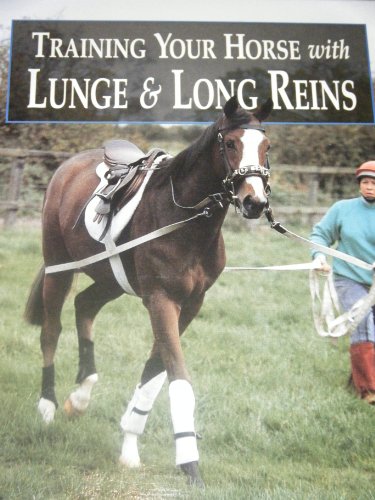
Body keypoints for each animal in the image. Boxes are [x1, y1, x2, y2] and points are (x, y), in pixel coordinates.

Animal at [25, 94, 274, 488]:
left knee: (84, 306)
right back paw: (47, 406)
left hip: (110, 279)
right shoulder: (161, 300)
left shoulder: (190, 304)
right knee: (51, 331)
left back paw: (80, 396)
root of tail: (68, 167)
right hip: (57, 268)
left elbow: (153, 374)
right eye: (231, 144)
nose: (255, 202)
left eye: (266, 146)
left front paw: (129, 443)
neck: (183, 218)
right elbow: (177, 377)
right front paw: (189, 463)